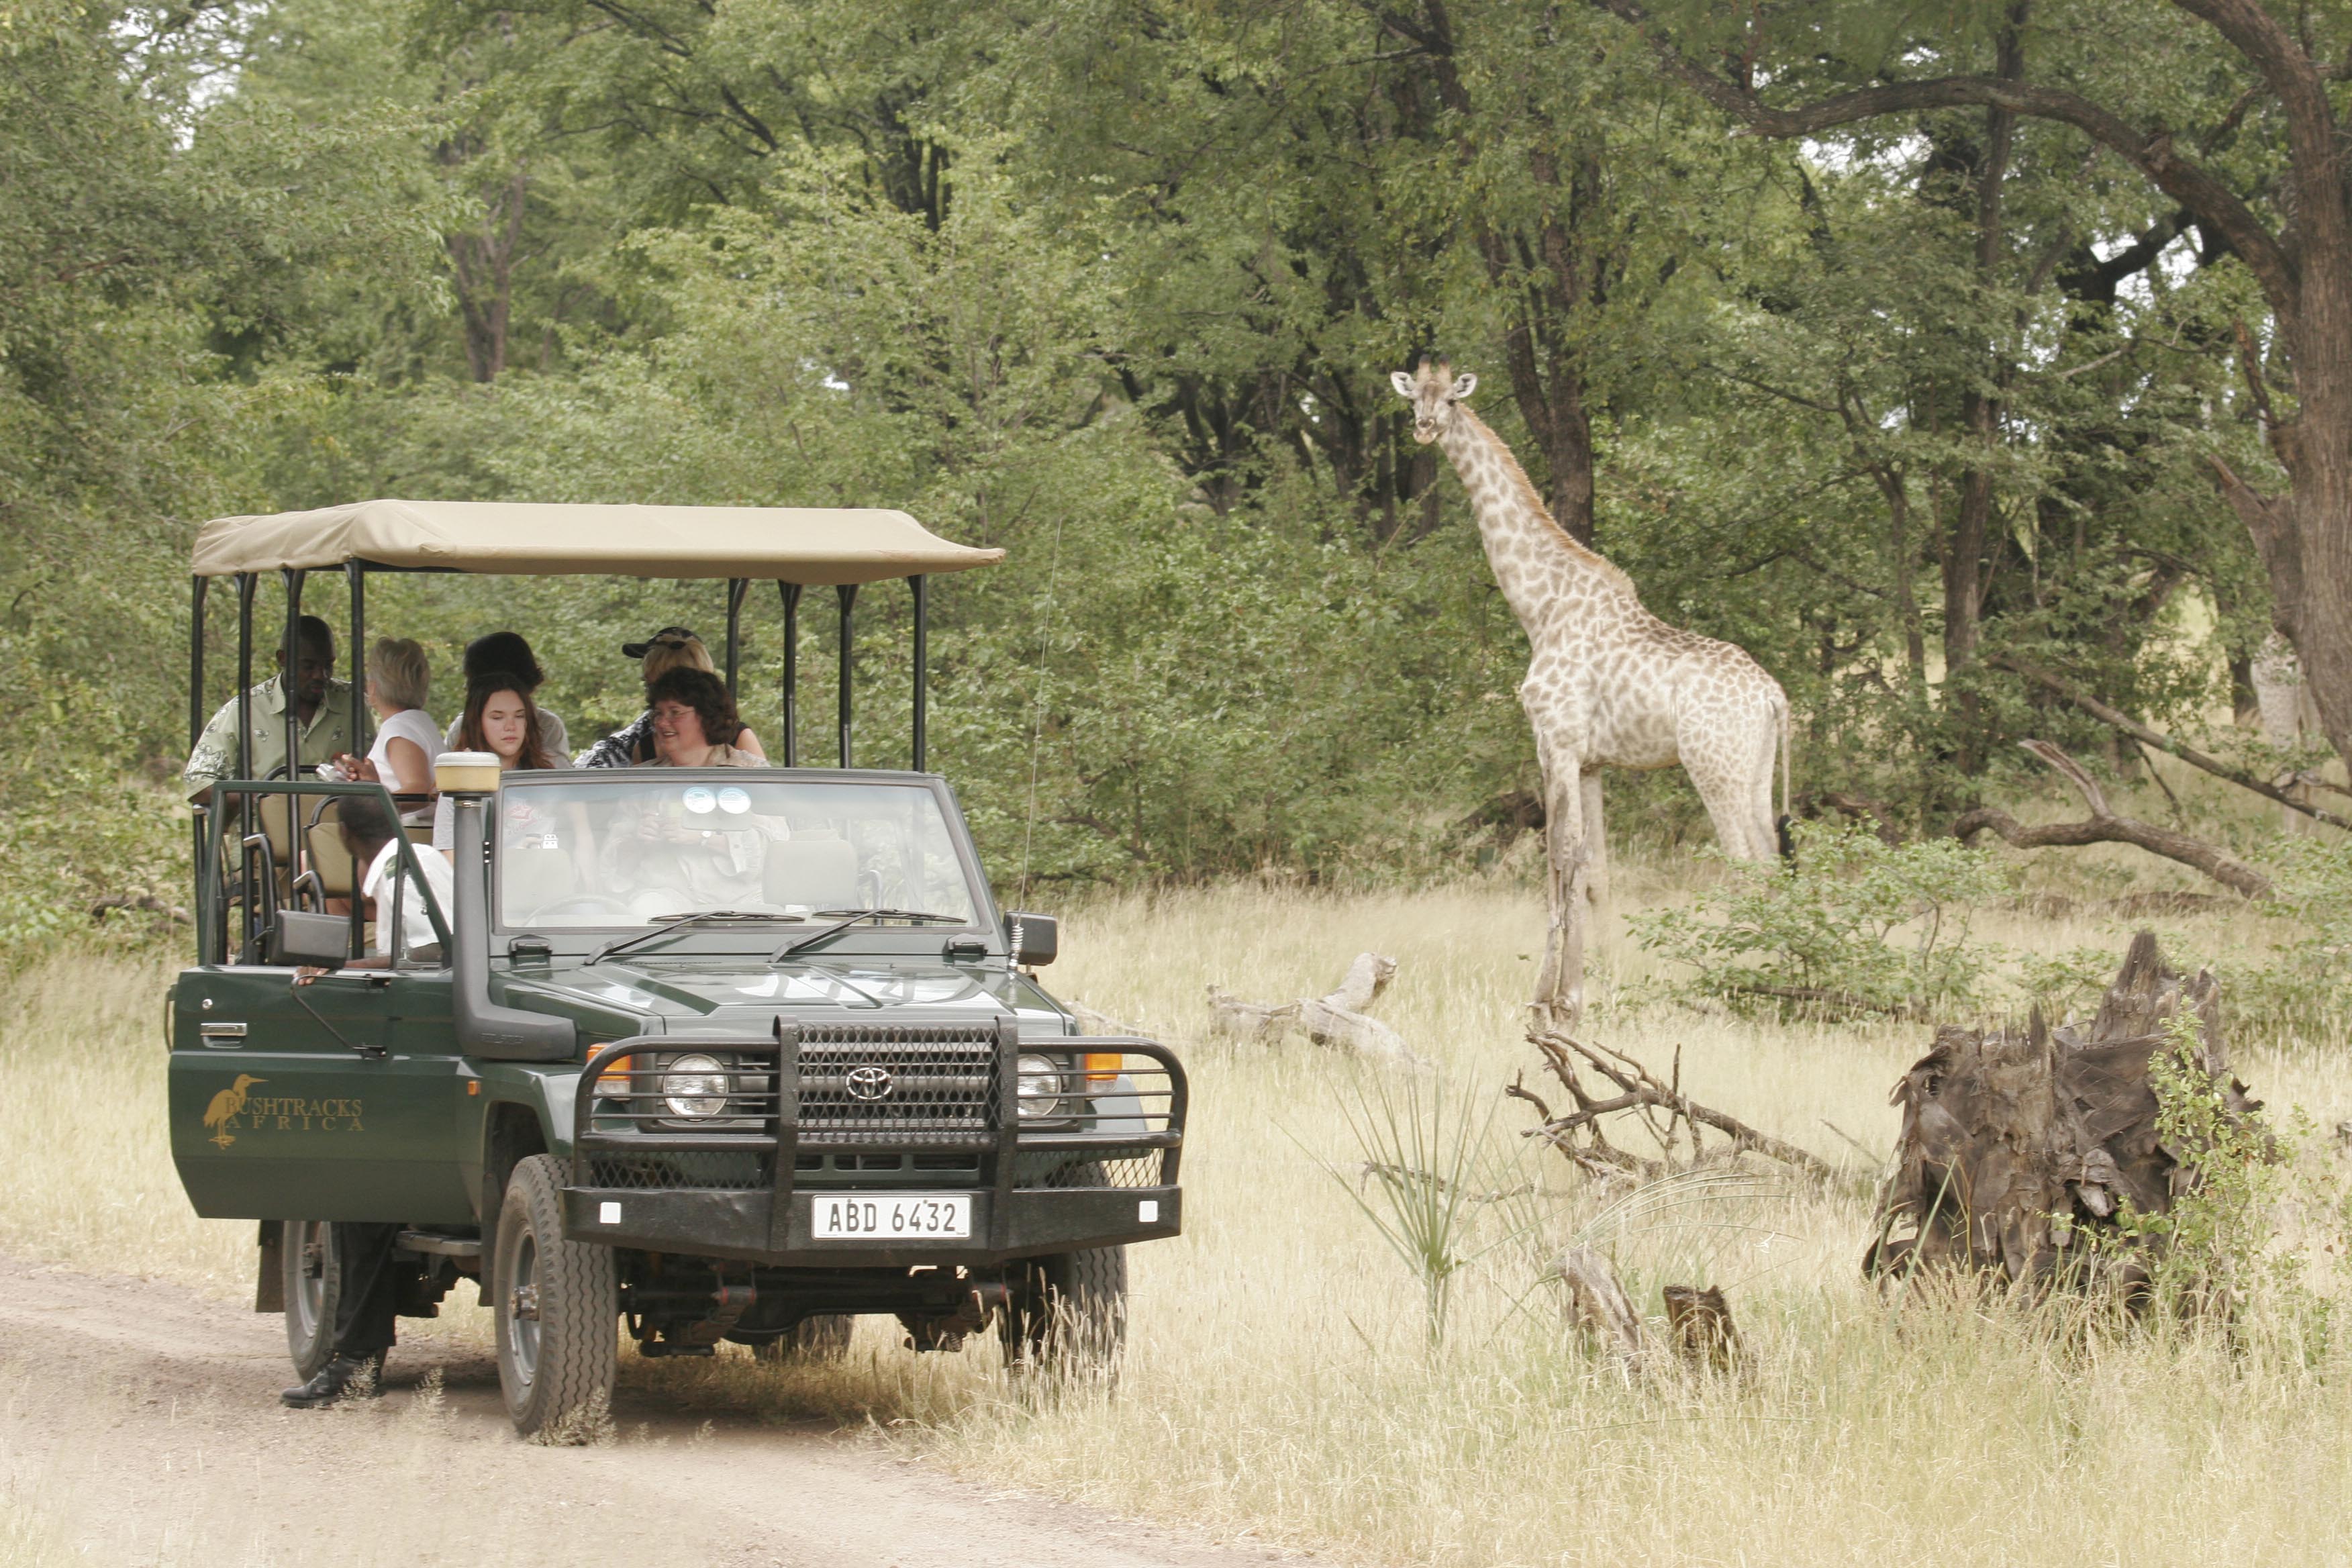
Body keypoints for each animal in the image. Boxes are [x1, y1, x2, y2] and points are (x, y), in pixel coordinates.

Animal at [1383, 359, 1787, 1024]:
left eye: (1452, 399)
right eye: (1414, 396)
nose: (1424, 425)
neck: (1540, 607)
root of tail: (1773, 696)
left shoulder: (1556, 741)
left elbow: (1558, 861)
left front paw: (1551, 998)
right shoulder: (1594, 760)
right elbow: (1594, 871)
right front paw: (1597, 983)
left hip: (1714, 768)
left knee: (1747, 869)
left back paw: (1745, 986)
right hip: (1755, 772)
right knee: (1775, 864)